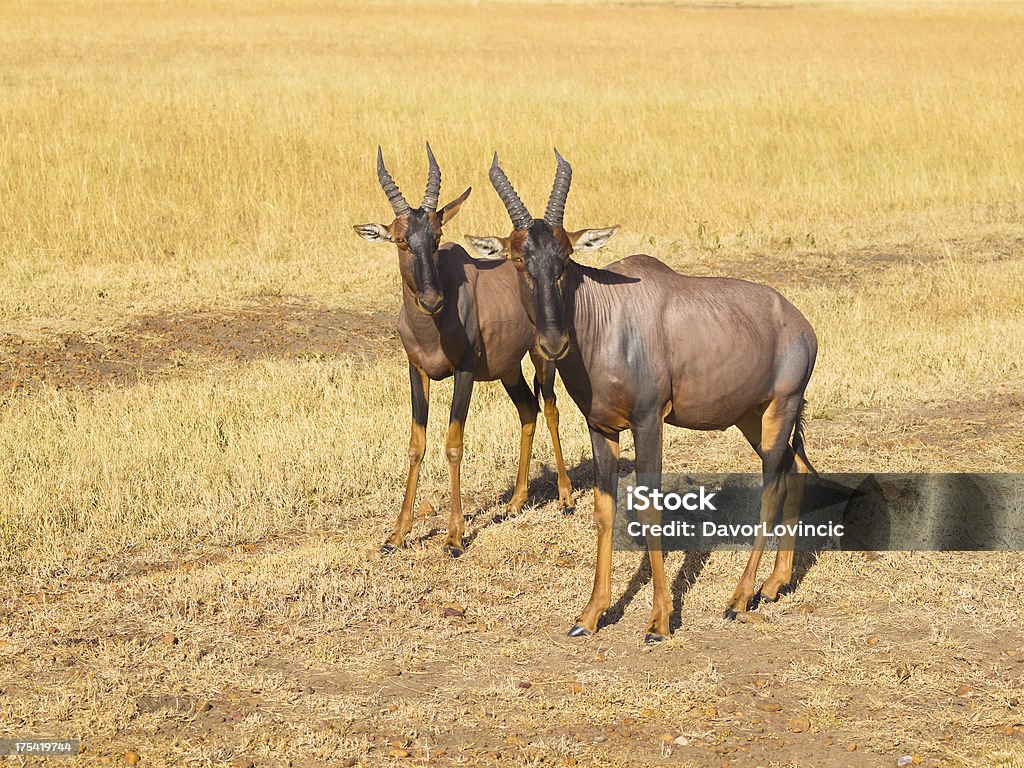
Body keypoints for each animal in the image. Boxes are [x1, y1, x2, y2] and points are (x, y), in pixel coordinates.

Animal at [352, 144, 577, 557]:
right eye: (401, 240)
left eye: (437, 235)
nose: (432, 299)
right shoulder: (416, 370)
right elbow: (416, 444)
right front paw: (396, 535)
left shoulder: (465, 372)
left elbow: (454, 443)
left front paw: (454, 538)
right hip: (508, 369)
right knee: (528, 410)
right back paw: (515, 502)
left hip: (542, 355)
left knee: (551, 408)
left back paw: (566, 498)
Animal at [468, 150, 815, 643]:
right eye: (518, 259)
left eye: (565, 257)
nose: (553, 343)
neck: (607, 314)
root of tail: (802, 324)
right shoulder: (601, 427)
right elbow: (604, 510)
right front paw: (589, 616)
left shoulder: (649, 420)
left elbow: (651, 507)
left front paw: (660, 621)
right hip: (752, 415)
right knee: (796, 468)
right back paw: (774, 584)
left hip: (780, 408)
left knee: (772, 485)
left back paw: (738, 599)